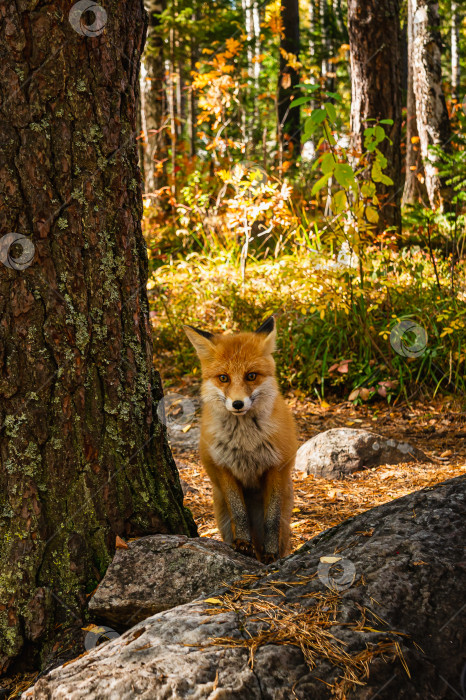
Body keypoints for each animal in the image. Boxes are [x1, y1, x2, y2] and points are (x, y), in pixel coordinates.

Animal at [184, 318, 296, 564]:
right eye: (223, 378)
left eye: (251, 376)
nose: (237, 404)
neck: (246, 441)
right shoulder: (223, 467)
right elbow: (239, 513)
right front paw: (243, 544)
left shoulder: (275, 466)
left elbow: (272, 520)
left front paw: (271, 554)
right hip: (221, 514)